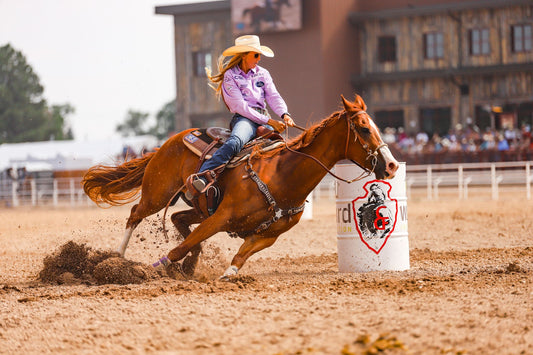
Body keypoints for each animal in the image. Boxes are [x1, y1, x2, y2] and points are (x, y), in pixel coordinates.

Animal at [83, 96, 396, 280]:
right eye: (364, 128)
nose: (392, 166)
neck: (283, 176)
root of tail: (168, 142)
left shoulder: (267, 235)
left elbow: (238, 257)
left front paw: (225, 274)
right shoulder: (222, 217)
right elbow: (177, 249)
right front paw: (154, 269)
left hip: (198, 208)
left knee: (177, 219)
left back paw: (189, 266)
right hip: (158, 194)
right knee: (136, 213)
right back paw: (117, 257)